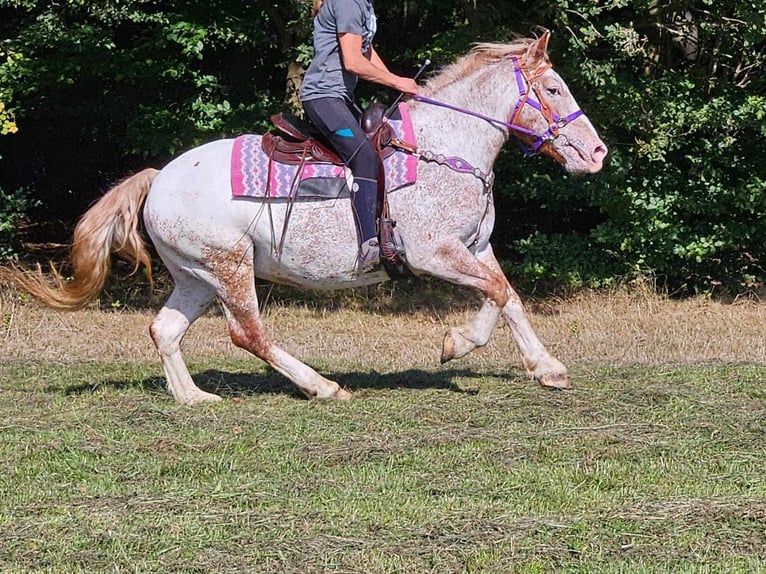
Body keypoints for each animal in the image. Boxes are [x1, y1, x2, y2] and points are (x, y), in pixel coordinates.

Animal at [6, 33, 608, 408]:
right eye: (553, 89)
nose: (598, 154)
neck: (448, 147)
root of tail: (158, 178)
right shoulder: (434, 252)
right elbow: (498, 296)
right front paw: (456, 343)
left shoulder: (475, 248)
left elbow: (509, 298)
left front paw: (546, 367)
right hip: (229, 267)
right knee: (247, 333)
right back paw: (321, 387)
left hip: (195, 276)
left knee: (165, 330)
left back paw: (195, 397)